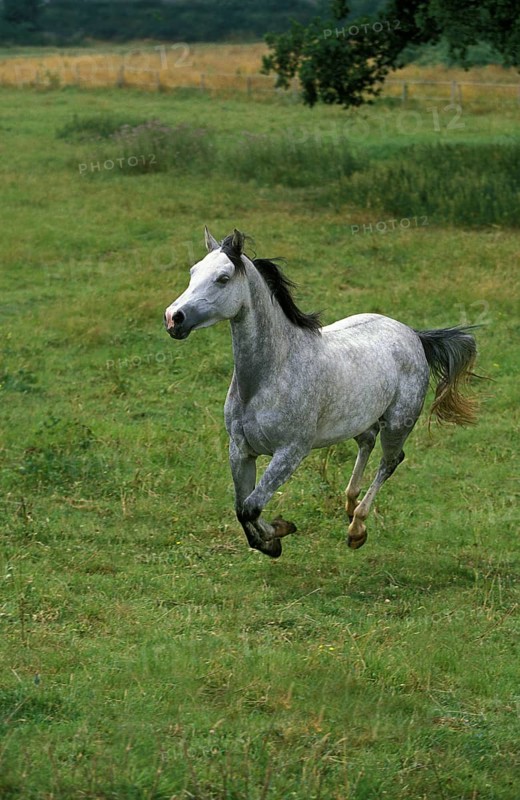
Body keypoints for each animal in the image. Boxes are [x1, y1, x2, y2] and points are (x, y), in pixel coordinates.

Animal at [164, 227, 477, 559]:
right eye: (193, 272)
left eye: (223, 278)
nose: (173, 317)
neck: (268, 375)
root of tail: (414, 335)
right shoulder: (240, 449)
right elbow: (241, 508)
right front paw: (271, 540)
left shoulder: (290, 451)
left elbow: (251, 506)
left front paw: (279, 533)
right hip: (359, 418)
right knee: (367, 442)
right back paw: (349, 505)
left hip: (398, 423)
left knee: (390, 461)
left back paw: (357, 528)